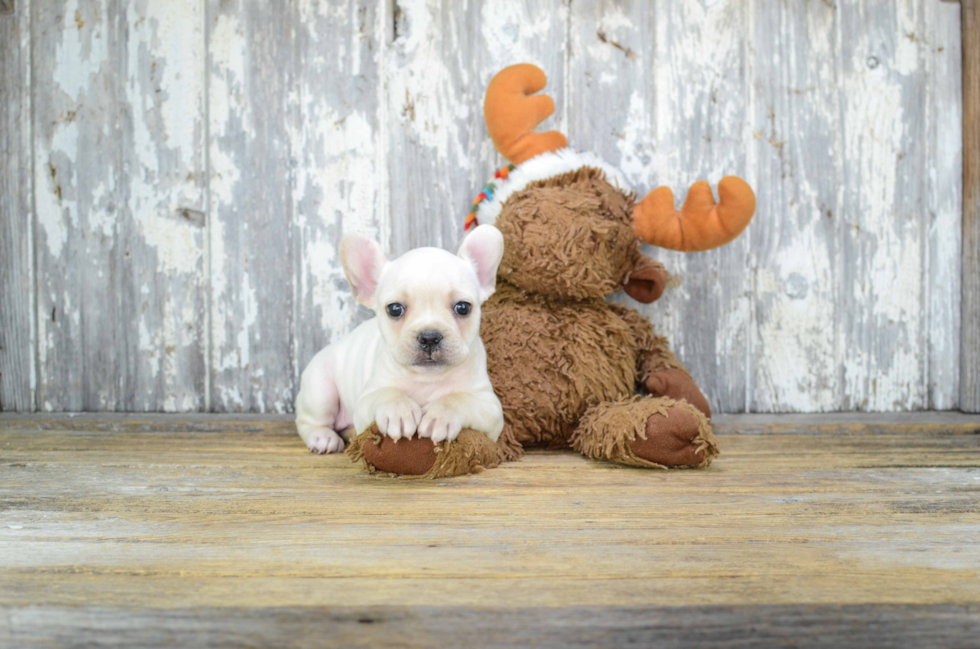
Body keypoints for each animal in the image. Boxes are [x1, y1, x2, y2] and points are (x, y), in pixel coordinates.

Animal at [292, 225, 506, 454]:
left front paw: (440, 416)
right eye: (395, 309)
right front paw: (398, 411)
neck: (427, 378)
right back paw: (323, 438)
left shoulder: (489, 406)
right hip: (320, 391)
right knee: (308, 421)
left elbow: (458, 399)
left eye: (463, 307)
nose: (430, 336)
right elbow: (388, 393)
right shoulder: (366, 399)